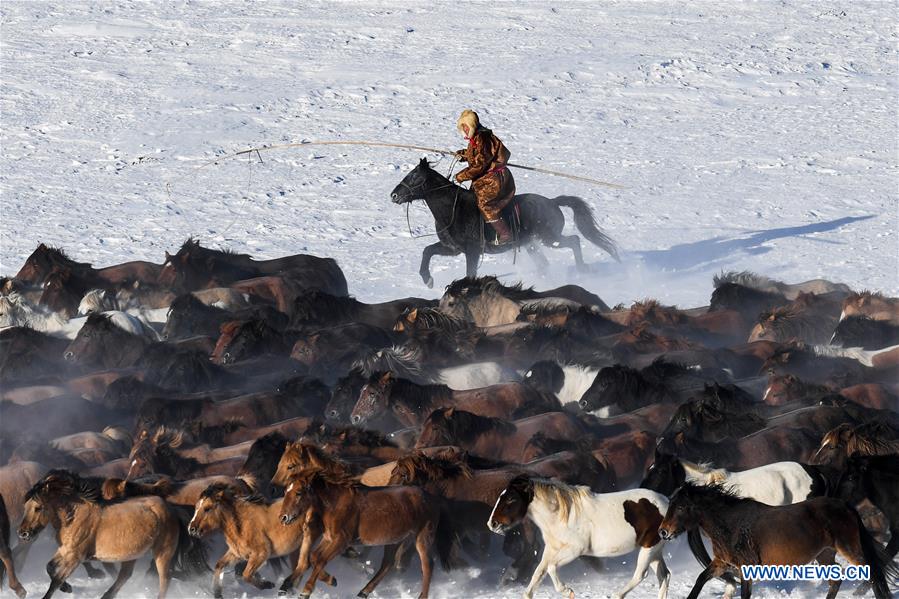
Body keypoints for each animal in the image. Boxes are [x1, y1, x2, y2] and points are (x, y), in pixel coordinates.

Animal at [19, 472, 181, 599]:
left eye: (38, 508)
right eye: (25, 507)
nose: (22, 533)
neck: (73, 517)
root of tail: (169, 508)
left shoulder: (75, 557)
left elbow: (56, 581)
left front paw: (65, 587)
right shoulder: (65, 551)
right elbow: (49, 567)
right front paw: (67, 588)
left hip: (162, 552)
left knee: (164, 579)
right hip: (132, 553)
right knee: (124, 575)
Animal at [280, 472, 444, 599]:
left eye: (299, 492)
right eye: (286, 491)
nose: (283, 517)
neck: (335, 504)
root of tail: (431, 498)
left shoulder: (341, 541)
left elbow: (319, 560)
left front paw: (306, 591)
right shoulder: (329, 538)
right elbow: (314, 558)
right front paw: (332, 580)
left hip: (422, 538)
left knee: (427, 566)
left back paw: (422, 596)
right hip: (395, 540)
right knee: (387, 564)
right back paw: (363, 592)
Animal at [390, 158, 616, 288]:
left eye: (414, 176)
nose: (394, 195)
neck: (453, 210)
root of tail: (552, 202)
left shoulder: (472, 251)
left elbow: (470, 273)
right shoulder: (452, 249)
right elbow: (427, 251)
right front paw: (427, 280)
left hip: (549, 238)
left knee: (575, 240)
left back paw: (583, 270)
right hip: (532, 244)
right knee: (545, 264)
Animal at [656, 482, 896, 599]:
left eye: (680, 507)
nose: (663, 532)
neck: (731, 524)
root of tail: (846, 506)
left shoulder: (746, 568)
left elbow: (745, 594)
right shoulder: (722, 563)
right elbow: (700, 579)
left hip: (849, 549)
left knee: (873, 574)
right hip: (825, 554)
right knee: (836, 580)